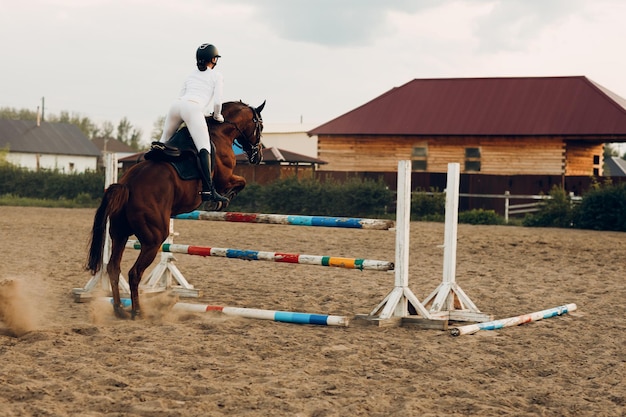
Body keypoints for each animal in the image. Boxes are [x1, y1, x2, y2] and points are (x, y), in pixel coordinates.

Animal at [85, 99, 264, 316]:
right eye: (260, 126)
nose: (258, 156)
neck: (221, 132)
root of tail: (127, 185)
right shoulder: (226, 178)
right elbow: (241, 182)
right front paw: (219, 200)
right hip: (153, 239)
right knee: (134, 272)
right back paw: (137, 311)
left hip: (120, 234)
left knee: (114, 268)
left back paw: (119, 308)